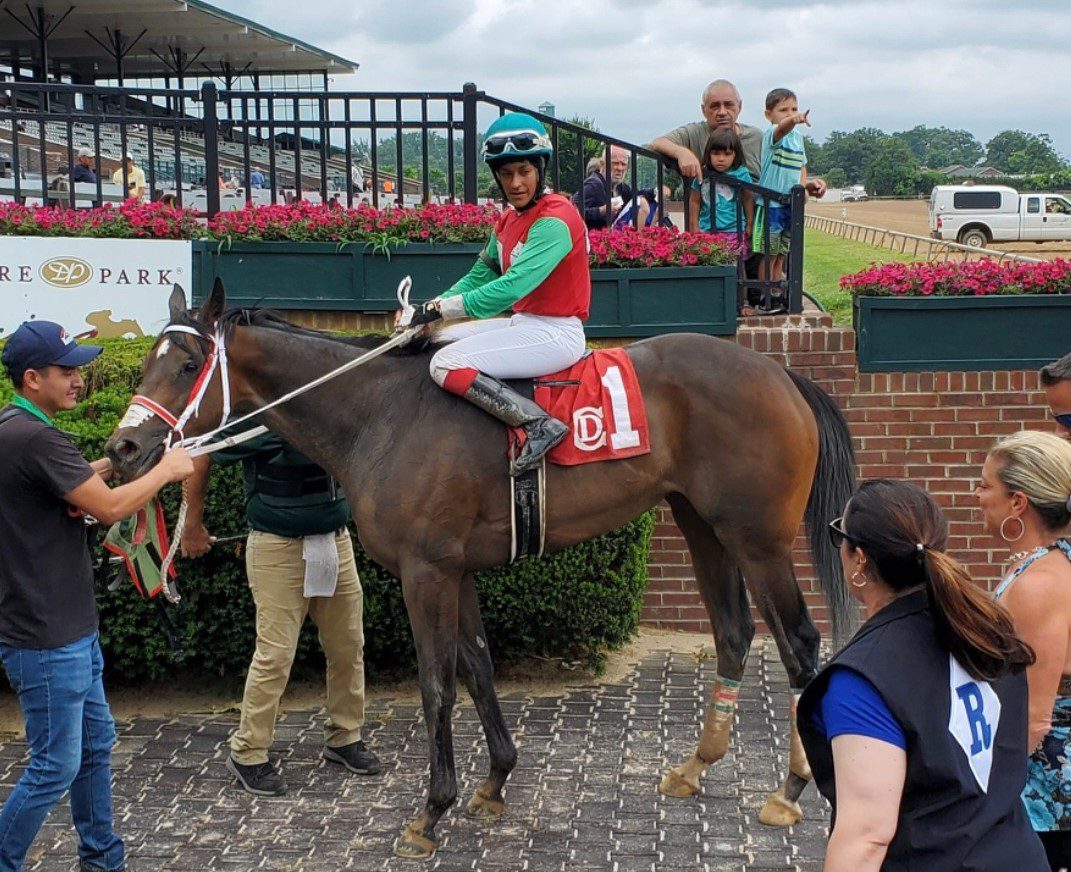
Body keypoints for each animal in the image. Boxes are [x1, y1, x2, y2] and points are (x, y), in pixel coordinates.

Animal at [100, 287, 852, 861]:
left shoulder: (424, 571)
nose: (123, 448)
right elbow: (478, 664)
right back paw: (694, 767)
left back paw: (789, 791)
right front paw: (493, 783)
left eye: (187, 362)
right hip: (702, 524)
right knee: (733, 634)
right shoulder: (454, 569)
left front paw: (431, 812)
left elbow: (437, 683)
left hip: (756, 538)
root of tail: (780, 374)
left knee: (798, 644)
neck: (380, 412)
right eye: (150, 358)